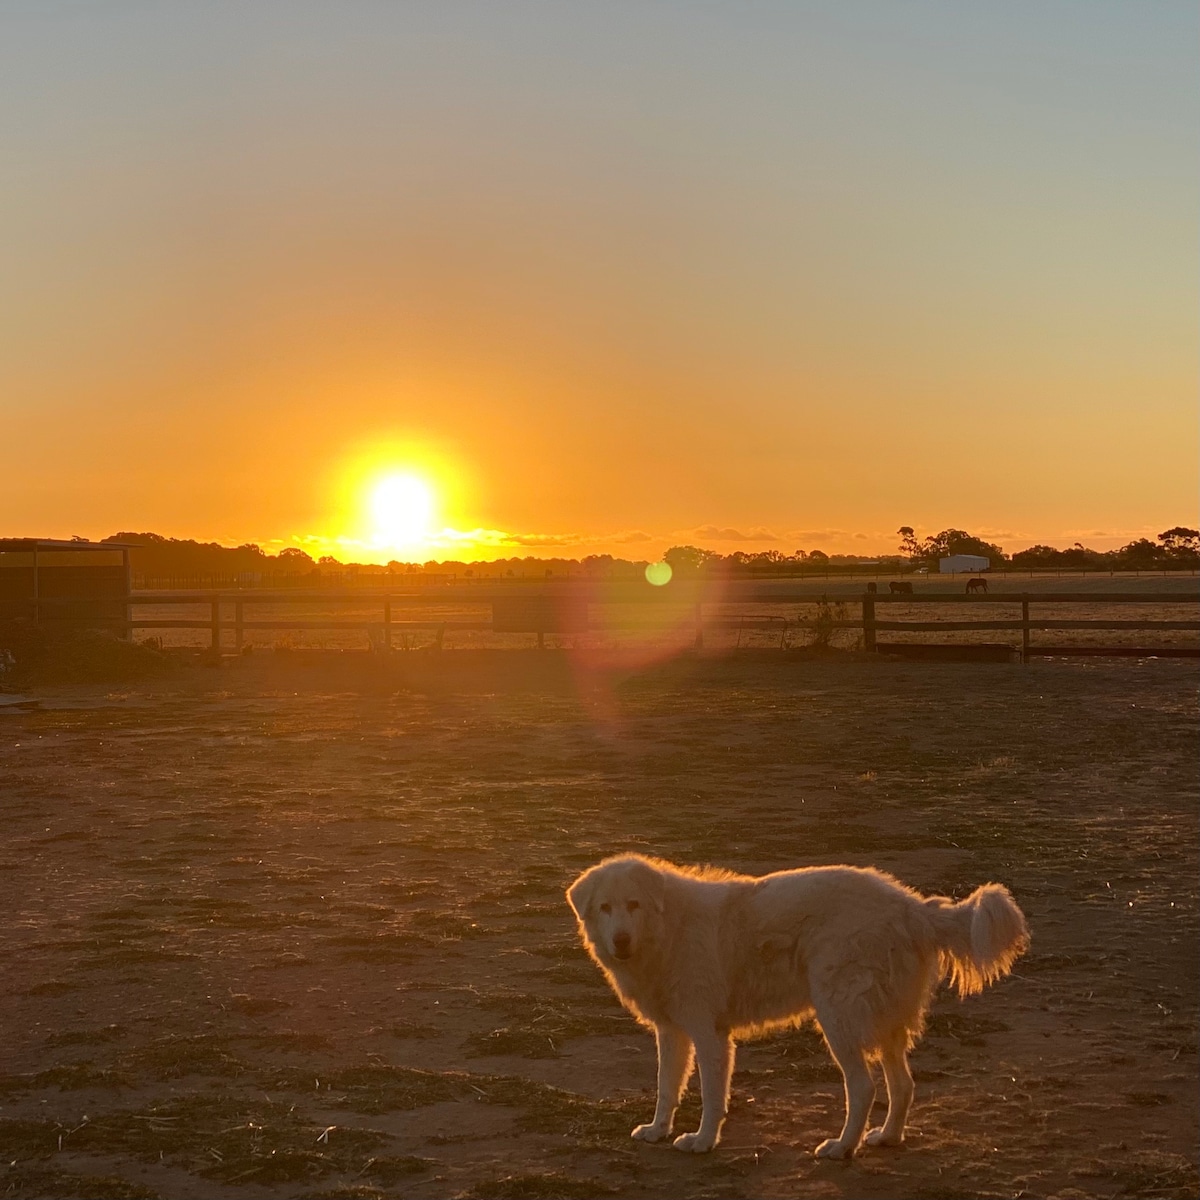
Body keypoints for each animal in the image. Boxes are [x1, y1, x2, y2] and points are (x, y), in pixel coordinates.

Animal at [566, 849, 1027, 1156]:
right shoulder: (673, 1030)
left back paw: (842, 1147)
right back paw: (886, 1137)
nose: (620, 940)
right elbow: (667, 1087)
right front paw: (658, 1130)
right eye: (605, 907)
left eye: (633, 905)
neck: (667, 928)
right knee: (903, 1085)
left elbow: (712, 1096)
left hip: (838, 1017)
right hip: (883, 1023)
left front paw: (703, 1140)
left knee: (863, 1087)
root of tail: (910, 906)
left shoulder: (710, 1034)